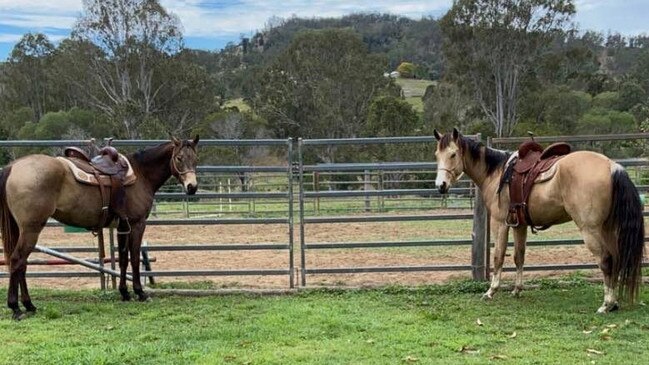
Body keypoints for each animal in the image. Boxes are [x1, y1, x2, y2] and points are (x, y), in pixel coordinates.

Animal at [0, 135, 199, 318]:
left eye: (195, 157)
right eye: (179, 158)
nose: (192, 187)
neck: (141, 174)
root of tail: (14, 166)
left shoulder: (122, 226)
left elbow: (123, 258)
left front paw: (124, 292)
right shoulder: (137, 224)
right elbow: (135, 258)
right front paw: (140, 292)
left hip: (21, 230)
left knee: (21, 264)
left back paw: (29, 305)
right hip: (31, 229)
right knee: (17, 260)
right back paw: (16, 307)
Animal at [432, 129, 640, 312]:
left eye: (453, 154)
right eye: (436, 155)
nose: (440, 185)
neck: (497, 172)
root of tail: (612, 166)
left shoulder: (500, 223)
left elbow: (499, 256)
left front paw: (491, 291)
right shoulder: (519, 225)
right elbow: (519, 256)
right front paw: (517, 290)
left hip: (590, 230)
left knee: (606, 261)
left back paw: (606, 304)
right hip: (607, 228)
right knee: (616, 258)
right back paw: (614, 302)